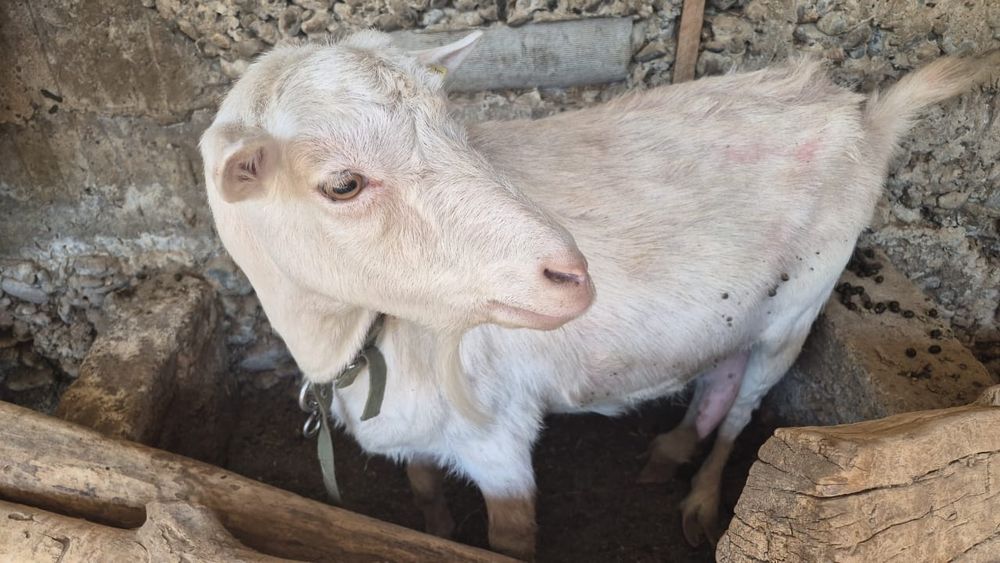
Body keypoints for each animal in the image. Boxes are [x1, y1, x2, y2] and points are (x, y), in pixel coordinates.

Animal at [200, 30, 997, 558]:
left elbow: (507, 540)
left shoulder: (499, 439)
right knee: (720, 372)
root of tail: (862, 115)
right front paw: (430, 530)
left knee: (746, 407)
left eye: (461, 130)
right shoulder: (412, 433)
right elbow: (425, 491)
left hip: (802, 299)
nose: (570, 272)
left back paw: (700, 499)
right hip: (740, 304)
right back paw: (668, 452)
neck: (361, 339)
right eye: (341, 183)